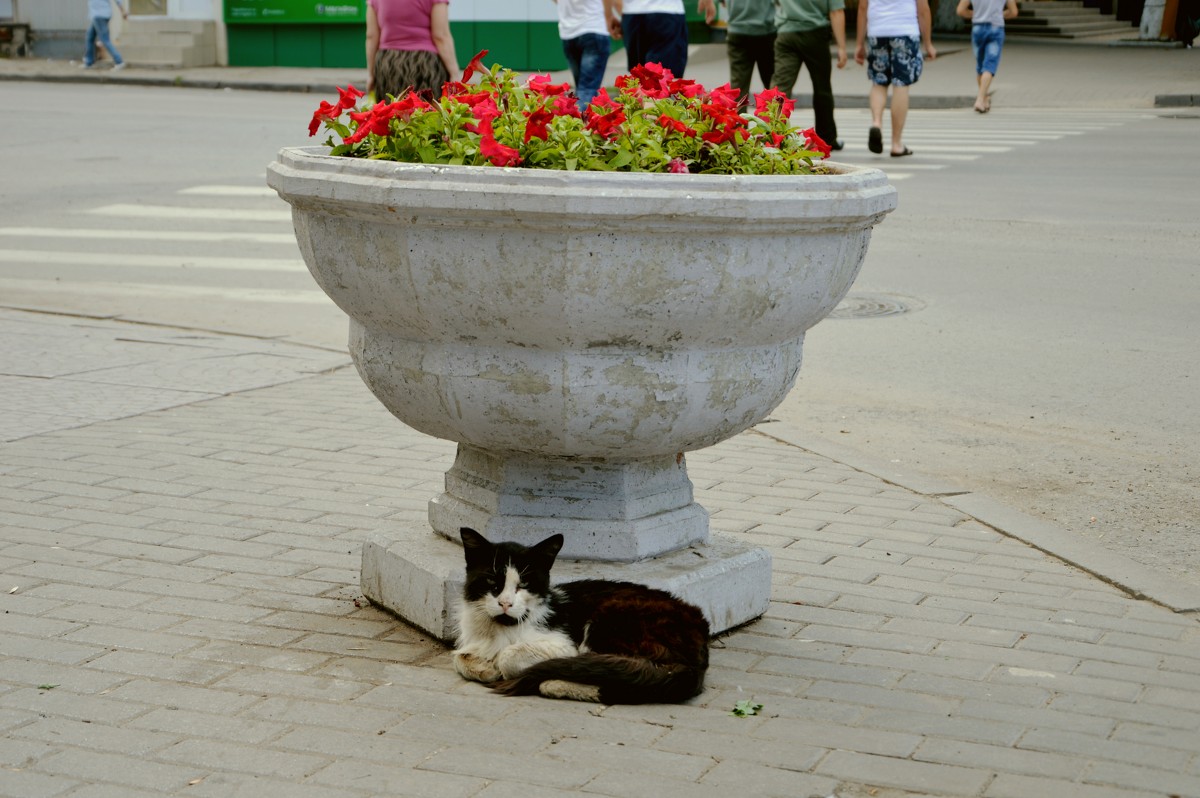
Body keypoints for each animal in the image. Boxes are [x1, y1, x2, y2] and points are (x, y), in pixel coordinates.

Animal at [453, 528, 705, 705]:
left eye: (523, 584)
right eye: (491, 580)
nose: (505, 603)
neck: (500, 628)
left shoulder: (563, 645)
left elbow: (507, 656)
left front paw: (498, 667)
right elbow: (460, 658)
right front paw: (485, 668)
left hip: (608, 622)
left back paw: (554, 683)